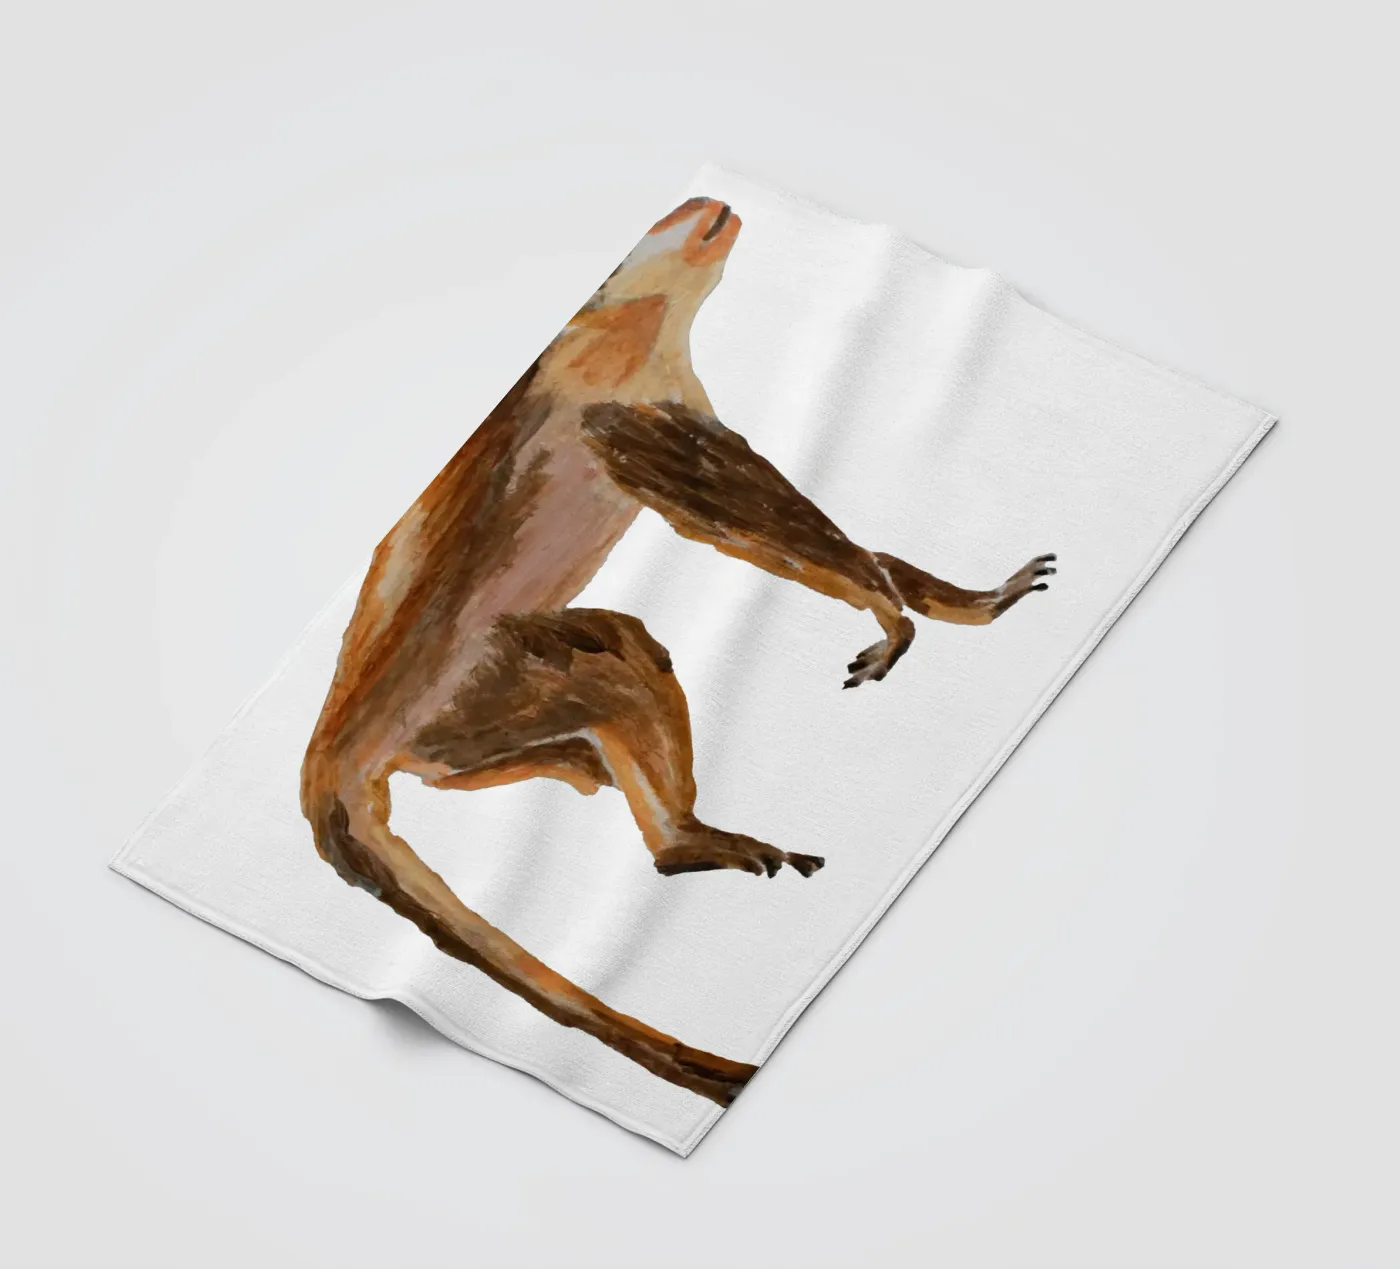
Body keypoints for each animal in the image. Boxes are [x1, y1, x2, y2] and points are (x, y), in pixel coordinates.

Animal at [300, 196, 1055, 1106]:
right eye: (677, 215)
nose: (711, 203)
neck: (635, 313)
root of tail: (337, 735)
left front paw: (960, 599)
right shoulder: (610, 393)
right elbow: (731, 513)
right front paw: (889, 606)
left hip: (454, 714)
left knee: (514, 723)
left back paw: (570, 767)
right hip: (469, 677)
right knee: (613, 657)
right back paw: (681, 840)